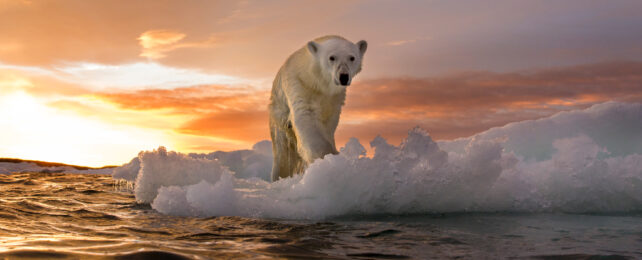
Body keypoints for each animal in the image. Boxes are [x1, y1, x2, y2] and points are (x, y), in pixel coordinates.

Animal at [268, 35, 368, 181]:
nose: (343, 77)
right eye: (332, 57)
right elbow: (305, 117)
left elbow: (329, 123)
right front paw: (326, 158)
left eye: (352, 57)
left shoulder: (334, 98)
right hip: (279, 117)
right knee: (283, 153)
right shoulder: (300, 85)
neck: (318, 83)